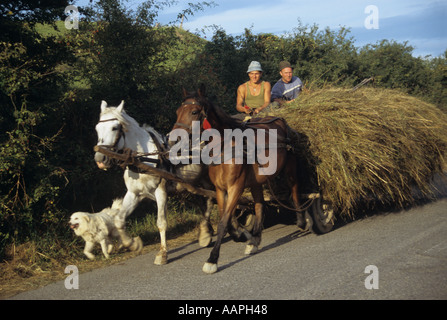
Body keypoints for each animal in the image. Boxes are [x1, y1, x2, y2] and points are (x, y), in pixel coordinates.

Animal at [93, 100, 214, 264]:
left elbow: (161, 223)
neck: (145, 158)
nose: (100, 159)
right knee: (206, 203)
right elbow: (119, 219)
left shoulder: (160, 192)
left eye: (114, 127)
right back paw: (206, 233)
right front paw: (132, 244)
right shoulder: (134, 194)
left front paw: (162, 254)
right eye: (97, 128)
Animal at [172, 86, 312, 274]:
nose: (173, 139)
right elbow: (228, 221)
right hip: (256, 182)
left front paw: (212, 259)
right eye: (178, 111)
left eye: (194, 112)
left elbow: (224, 222)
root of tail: (280, 120)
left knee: (295, 189)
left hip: (289, 166)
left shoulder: (235, 187)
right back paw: (255, 240)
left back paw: (302, 220)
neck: (225, 147)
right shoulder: (220, 189)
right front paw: (242, 236)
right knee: (260, 206)